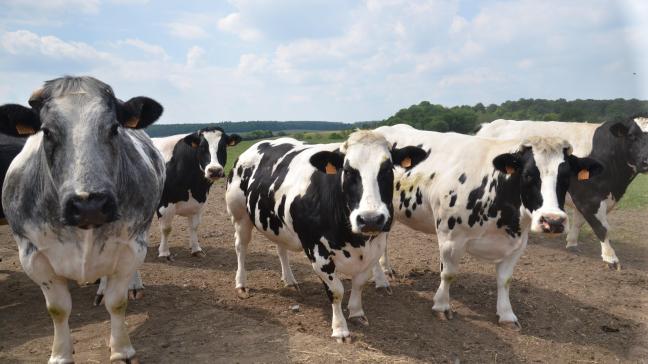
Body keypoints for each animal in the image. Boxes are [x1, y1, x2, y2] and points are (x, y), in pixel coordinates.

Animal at [0, 75, 166, 362]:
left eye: (114, 128)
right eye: (46, 131)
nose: (90, 204)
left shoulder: (130, 245)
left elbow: (117, 302)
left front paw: (121, 349)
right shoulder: (32, 255)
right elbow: (58, 309)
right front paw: (60, 354)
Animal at [153, 127, 242, 258]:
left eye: (223, 147)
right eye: (202, 147)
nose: (214, 170)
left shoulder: (199, 203)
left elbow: (194, 227)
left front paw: (196, 249)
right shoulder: (164, 204)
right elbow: (166, 228)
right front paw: (164, 252)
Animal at [225, 132, 428, 342]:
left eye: (387, 169)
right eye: (348, 170)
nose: (370, 219)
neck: (355, 240)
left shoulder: (376, 247)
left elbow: (359, 283)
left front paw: (357, 313)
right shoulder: (317, 251)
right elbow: (336, 291)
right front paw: (340, 329)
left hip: (278, 224)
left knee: (281, 249)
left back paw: (289, 280)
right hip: (239, 215)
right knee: (241, 247)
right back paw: (241, 284)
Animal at [374, 124, 604, 330]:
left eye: (566, 176)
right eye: (528, 174)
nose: (553, 221)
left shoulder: (517, 244)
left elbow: (505, 280)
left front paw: (507, 314)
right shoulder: (450, 238)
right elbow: (448, 274)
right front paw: (441, 306)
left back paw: (386, 268)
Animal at [476, 116, 648, 270]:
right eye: (632, 136)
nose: (646, 161)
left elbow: (579, 222)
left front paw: (572, 243)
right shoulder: (589, 198)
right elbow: (602, 228)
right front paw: (611, 258)